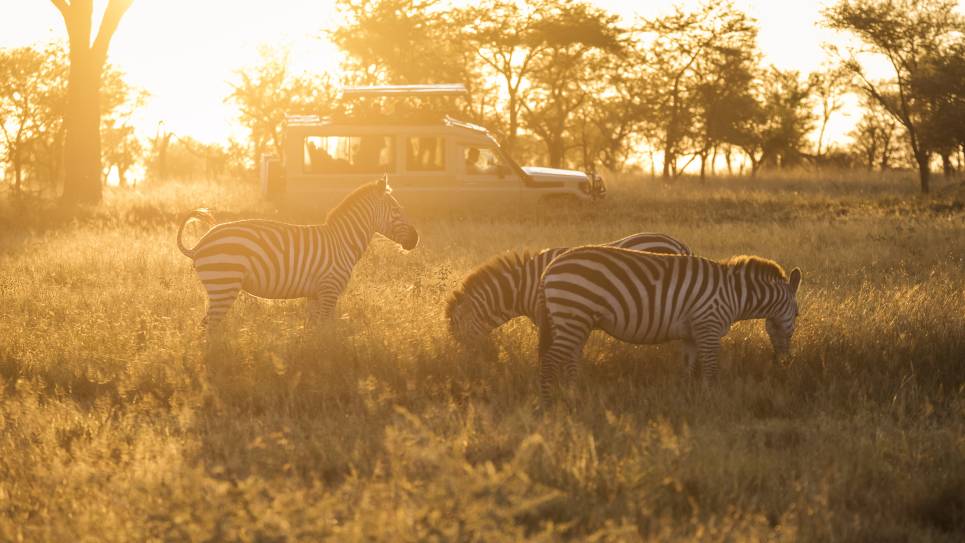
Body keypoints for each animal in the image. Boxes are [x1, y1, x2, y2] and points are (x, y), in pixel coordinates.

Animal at [178, 177, 418, 328]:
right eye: (397, 211)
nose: (416, 239)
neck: (343, 242)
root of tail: (200, 244)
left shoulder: (315, 294)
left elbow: (312, 331)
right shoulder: (330, 290)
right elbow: (325, 331)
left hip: (219, 288)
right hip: (224, 284)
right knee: (208, 329)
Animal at [540, 249, 804, 402]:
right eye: (798, 314)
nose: (786, 361)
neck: (735, 295)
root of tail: (549, 268)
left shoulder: (691, 334)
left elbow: (688, 367)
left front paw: (686, 398)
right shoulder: (708, 325)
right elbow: (711, 368)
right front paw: (713, 399)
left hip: (576, 321)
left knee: (570, 357)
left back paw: (574, 393)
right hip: (573, 314)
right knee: (551, 358)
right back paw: (548, 399)